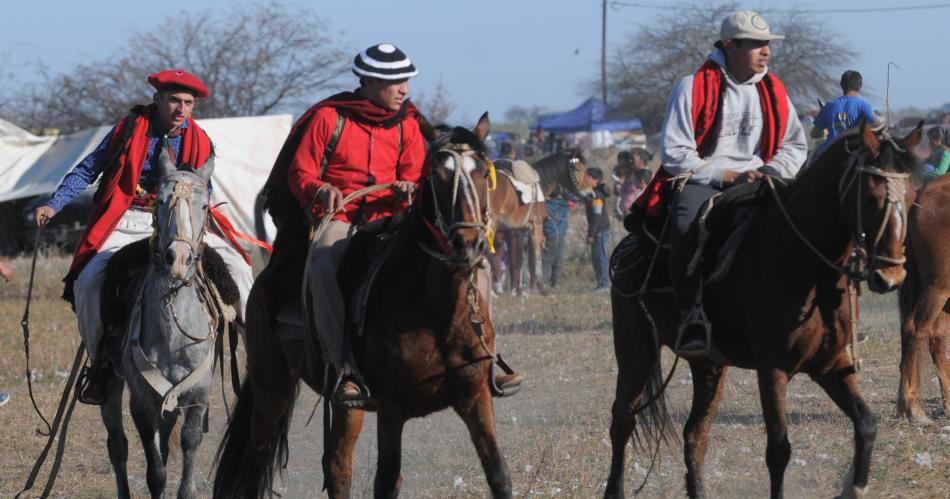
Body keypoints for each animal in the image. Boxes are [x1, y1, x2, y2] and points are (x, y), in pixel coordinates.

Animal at [217, 114, 516, 499]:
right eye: (437, 175)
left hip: (347, 404)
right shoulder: (391, 408)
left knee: (337, 465)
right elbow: (387, 481)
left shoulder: (476, 396)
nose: (469, 242)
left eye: (482, 171)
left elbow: (499, 474)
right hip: (272, 387)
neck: (437, 314)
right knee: (255, 461)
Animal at [490, 150, 596, 294]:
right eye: (578, 169)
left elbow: (521, 259)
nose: (591, 194)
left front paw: (521, 288)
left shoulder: (521, 230)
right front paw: (540, 285)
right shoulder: (536, 226)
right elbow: (536, 256)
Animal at [608, 122, 924, 499]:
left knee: (695, 434)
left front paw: (854, 487)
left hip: (709, 365)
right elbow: (778, 449)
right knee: (623, 419)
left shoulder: (831, 365)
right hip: (637, 351)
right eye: (870, 198)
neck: (805, 265)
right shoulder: (772, 368)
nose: (891, 277)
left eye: (911, 197)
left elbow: (866, 423)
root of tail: (627, 246)